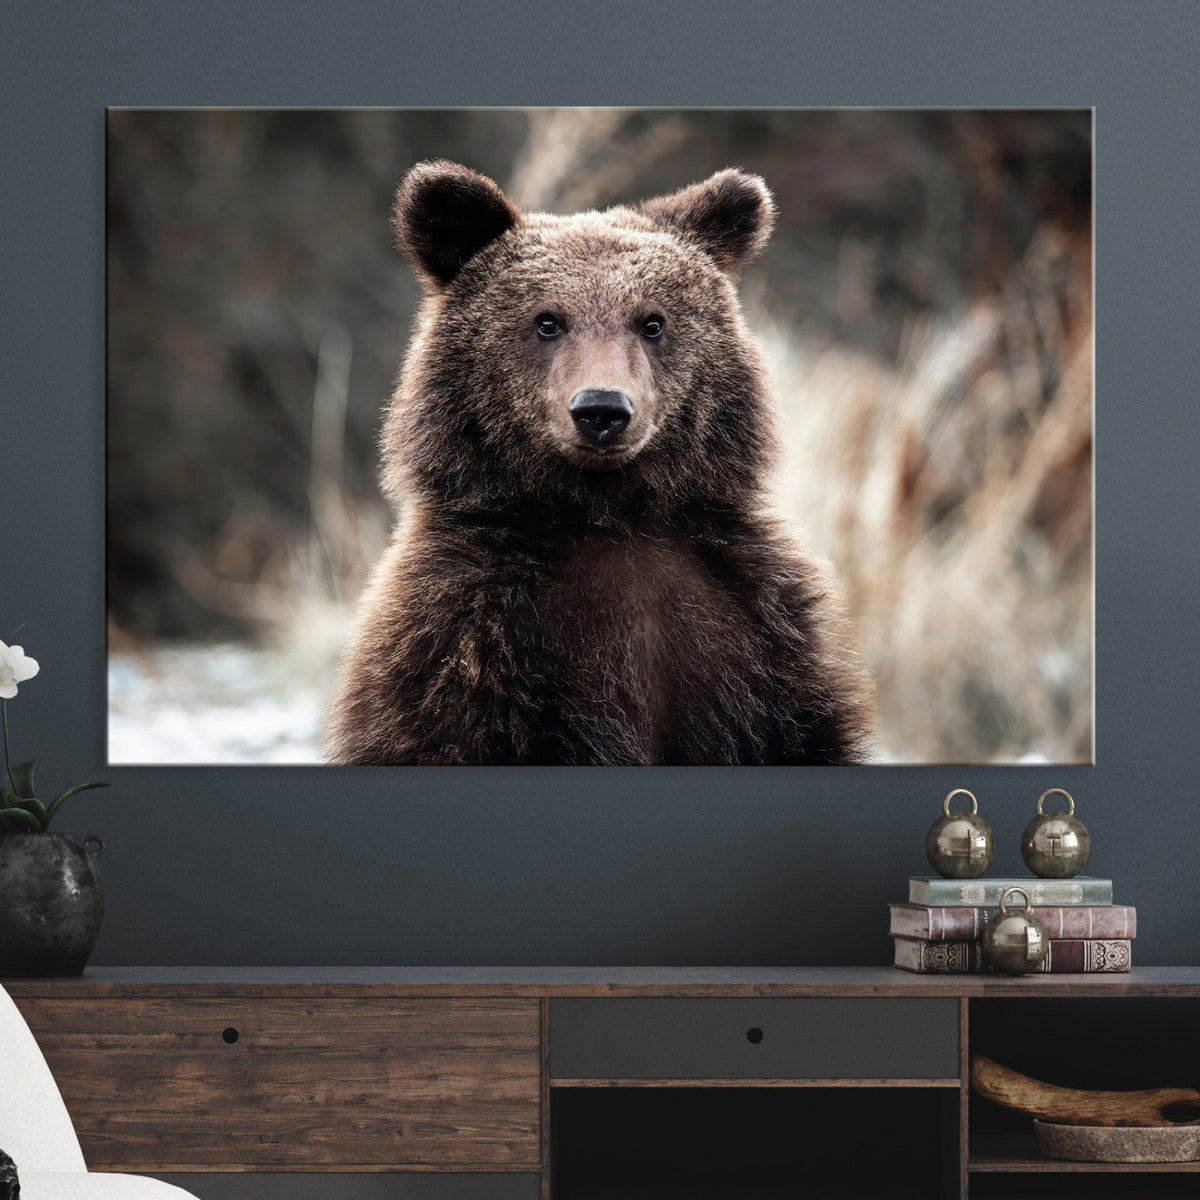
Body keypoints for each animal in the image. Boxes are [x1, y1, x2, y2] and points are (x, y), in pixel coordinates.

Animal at [325, 161, 873, 765]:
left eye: (652, 322)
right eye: (547, 321)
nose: (602, 409)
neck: (608, 514)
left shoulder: (758, 637)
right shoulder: (465, 643)